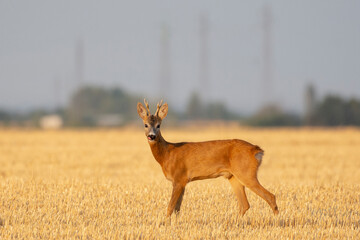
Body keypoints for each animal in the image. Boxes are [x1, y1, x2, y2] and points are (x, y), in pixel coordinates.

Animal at [136, 99, 280, 218]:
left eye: (158, 125)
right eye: (145, 125)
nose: (152, 136)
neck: (167, 154)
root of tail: (257, 151)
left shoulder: (179, 178)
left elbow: (170, 207)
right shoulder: (181, 181)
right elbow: (177, 209)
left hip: (246, 172)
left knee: (270, 196)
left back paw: (278, 221)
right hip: (233, 176)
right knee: (245, 204)